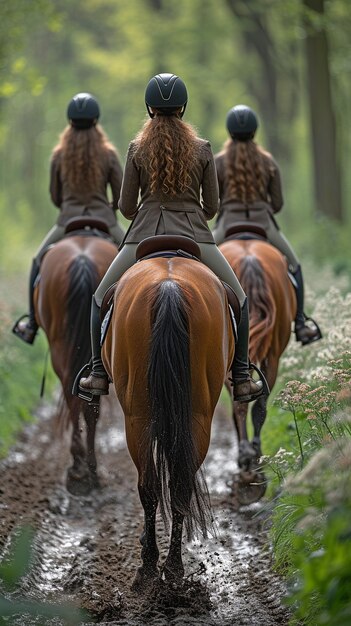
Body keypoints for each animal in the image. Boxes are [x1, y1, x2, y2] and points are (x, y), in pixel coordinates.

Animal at [33, 217, 117, 494]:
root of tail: (82, 258)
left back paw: (81, 469)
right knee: (85, 401)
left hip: (60, 345)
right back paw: (87, 470)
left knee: (75, 397)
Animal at [101, 238, 234, 584]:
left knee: (148, 485)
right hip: (196, 414)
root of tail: (170, 286)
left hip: (137, 416)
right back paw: (172, 568)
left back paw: (150, 565)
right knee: (179, 486)